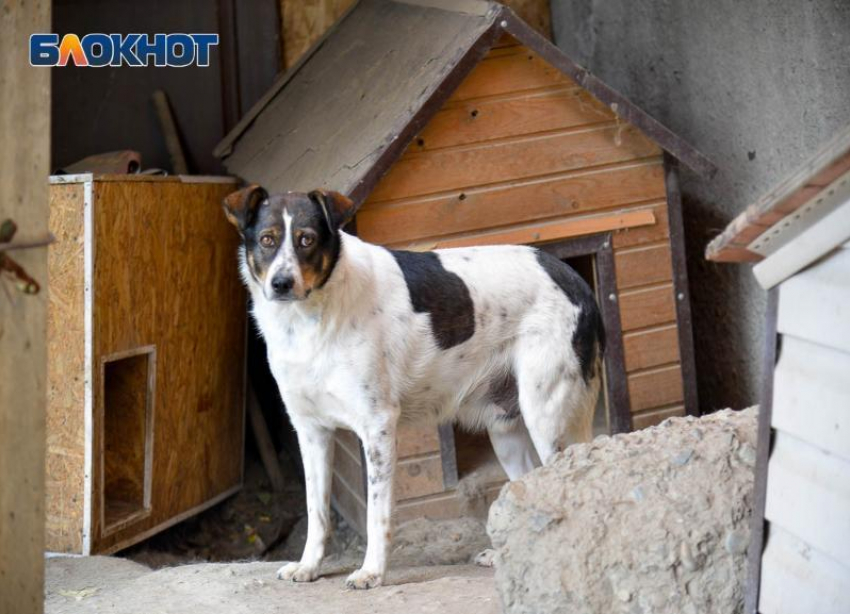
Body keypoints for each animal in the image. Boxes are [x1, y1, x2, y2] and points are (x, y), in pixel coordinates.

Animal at [224, 186, 604, 592]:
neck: (309, 321)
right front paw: (309, 565)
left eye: (306, 240)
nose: (281, 283)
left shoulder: (377, 426)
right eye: (267, 240)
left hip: (547, 417)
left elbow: (377, 513)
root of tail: (574, 277)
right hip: (506, 429)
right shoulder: (311, 431)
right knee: (531, 480)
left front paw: (372, 572)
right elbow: (317, 510)